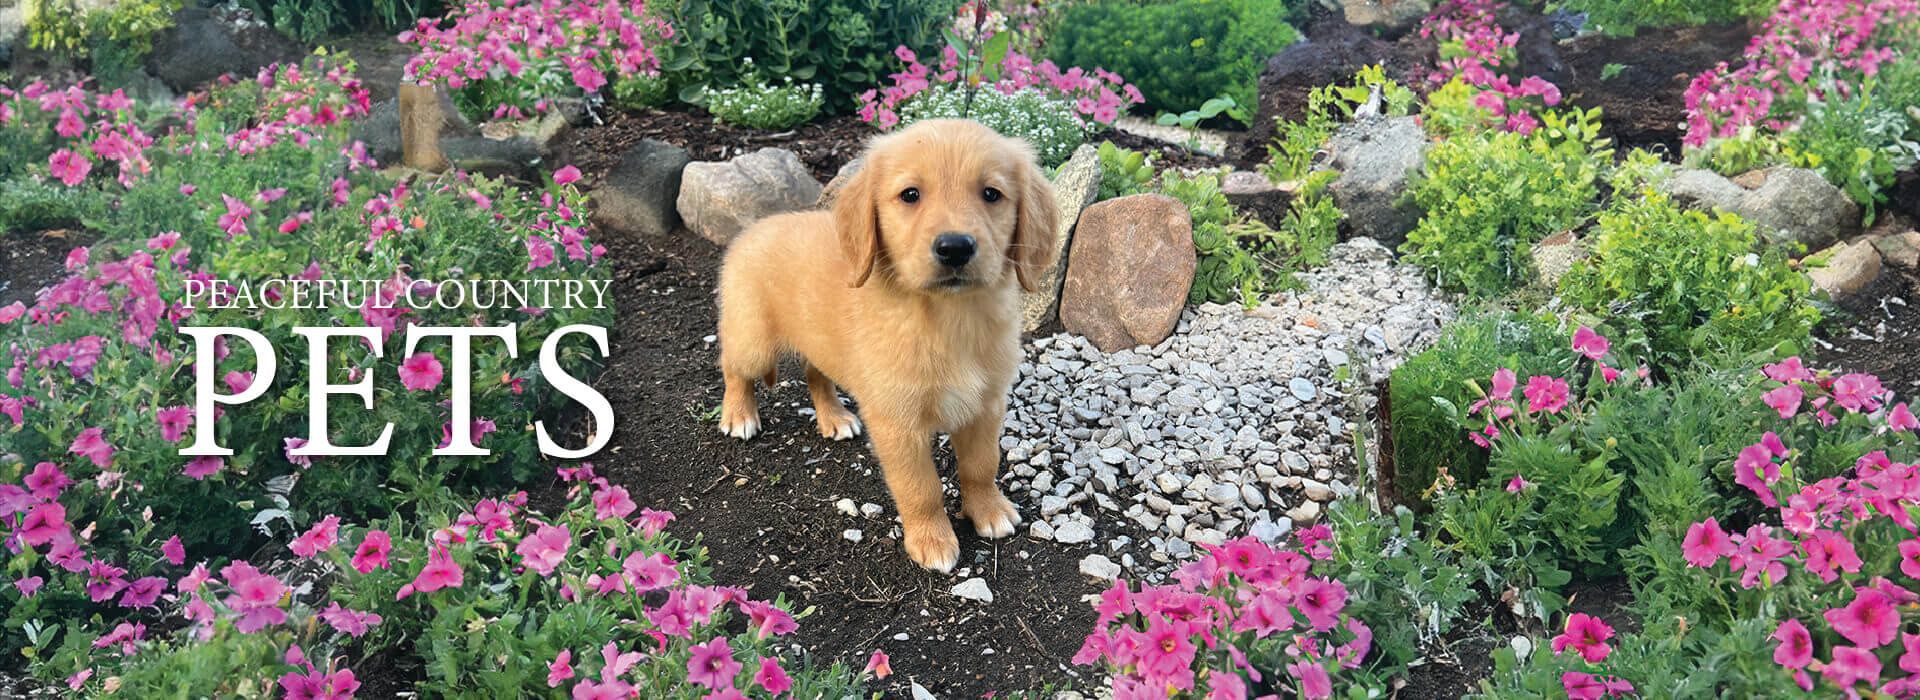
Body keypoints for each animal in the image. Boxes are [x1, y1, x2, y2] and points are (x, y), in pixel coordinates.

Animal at [718, 118, 1059, 567]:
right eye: (910, 195)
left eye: (991, 194)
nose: (955, 248)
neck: (947, 319)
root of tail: (756, 227)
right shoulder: (899, 423)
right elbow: (921, 487)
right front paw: (932, 540)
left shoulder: (986, 406)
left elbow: (982, 465)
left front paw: (989, 510)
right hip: (753, 340)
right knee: (733, 367)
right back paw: (738, 415)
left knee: (814, 373)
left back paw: (834, 418)